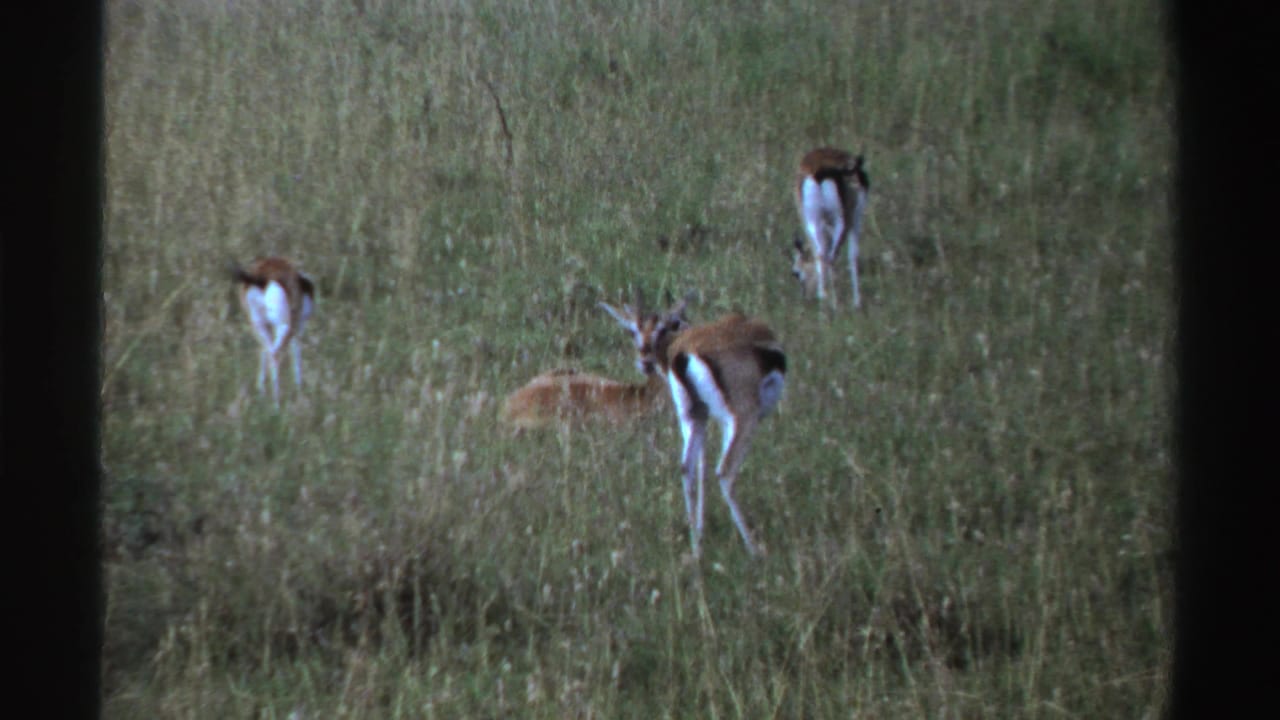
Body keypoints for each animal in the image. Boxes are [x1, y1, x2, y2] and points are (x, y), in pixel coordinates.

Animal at [231, 256, 315, 406]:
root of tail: (262, 277)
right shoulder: (296, 327)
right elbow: (296, 355)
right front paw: (299, 389)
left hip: (258, 325)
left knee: (267, 351)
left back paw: (263, 396)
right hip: (285, 326)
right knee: (275, 354)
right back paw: (277, 403)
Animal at [793, 147, 870, 308]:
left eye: (795, 273)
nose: (806, 298)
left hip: (827, 220)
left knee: (825, 255)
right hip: (840, 220)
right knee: (830, 255)